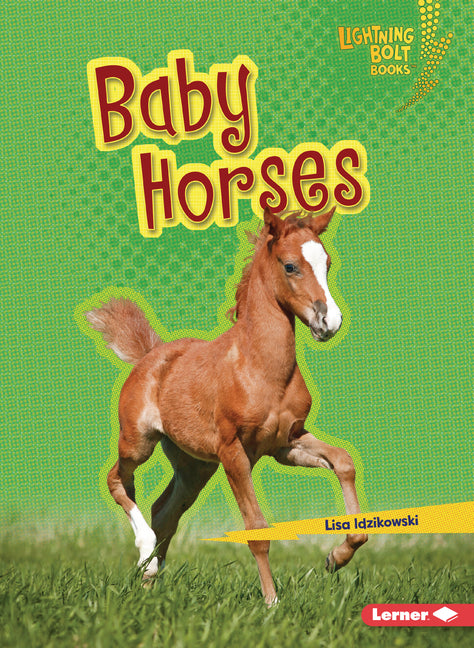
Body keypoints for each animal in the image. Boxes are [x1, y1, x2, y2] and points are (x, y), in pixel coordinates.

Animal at [85, 206, 367, 606]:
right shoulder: (234, 451)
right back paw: (145, 556)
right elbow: (257, 528)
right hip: (138, 442)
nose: (330, 321)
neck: (260, 368)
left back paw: (151, 578)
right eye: (290, 266)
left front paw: (335, 558)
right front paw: (271, 603)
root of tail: (150, 354)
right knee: (117, 480)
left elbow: (344, 462)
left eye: (326, 263)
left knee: (164, 511)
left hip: (195, 466)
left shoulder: (286, 443)